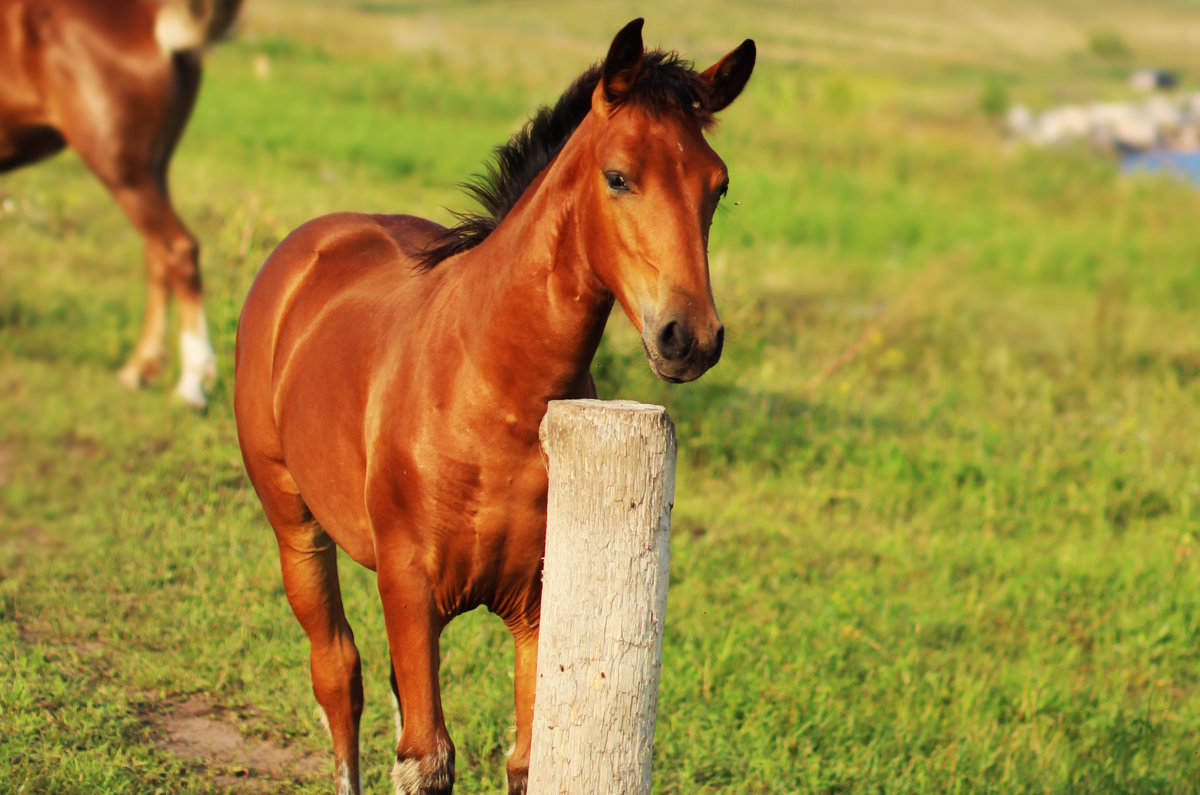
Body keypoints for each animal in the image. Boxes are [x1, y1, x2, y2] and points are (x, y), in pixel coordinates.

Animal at [0, 0, 243, 408]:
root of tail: (152, 17)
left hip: (120, 168)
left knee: (178, 248)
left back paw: (192, 384)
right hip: (152, 167)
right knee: (157, 253)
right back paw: (140, 369)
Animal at [234, 20, 753, 795]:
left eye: (716, 187)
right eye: (618, 176)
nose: (689, 338)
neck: (488, 394)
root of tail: (313, 241)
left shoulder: (537, 606)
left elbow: (525, 760)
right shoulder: (409, 586)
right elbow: (426, 759)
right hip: (294, 525)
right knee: (338, 674)